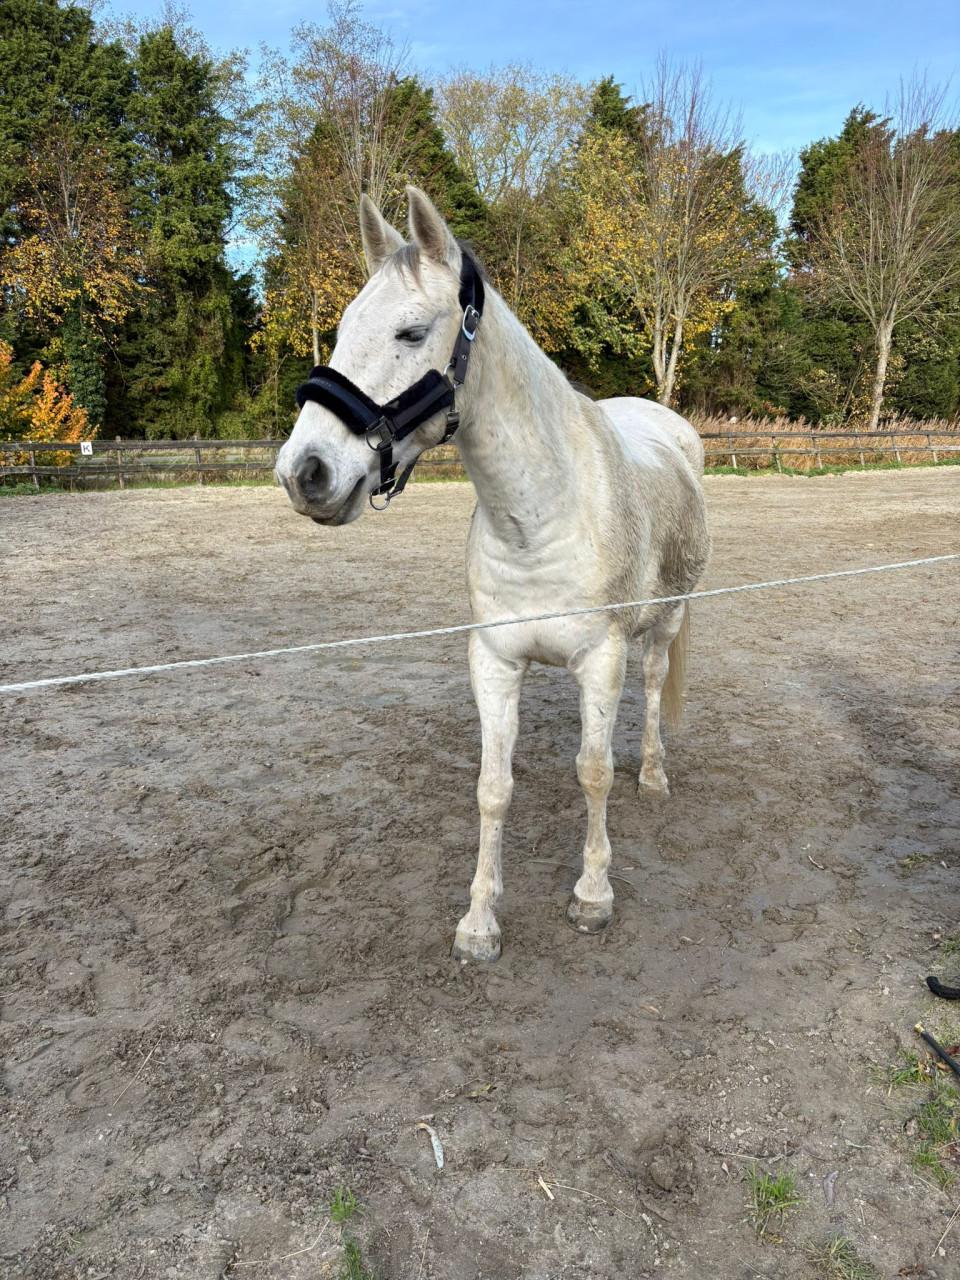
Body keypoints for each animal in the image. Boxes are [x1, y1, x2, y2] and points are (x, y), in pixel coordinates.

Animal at [275, 186, 710, 962]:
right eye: (344, 327)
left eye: (411, 333)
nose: (305, 472)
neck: (539, 513)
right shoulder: (495, 660)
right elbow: (492, 788)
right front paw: (480, 920)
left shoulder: (601, 657)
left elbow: (593, 772)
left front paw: (592, 895)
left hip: (666, 620)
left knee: (657, 685)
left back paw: (655, 775)